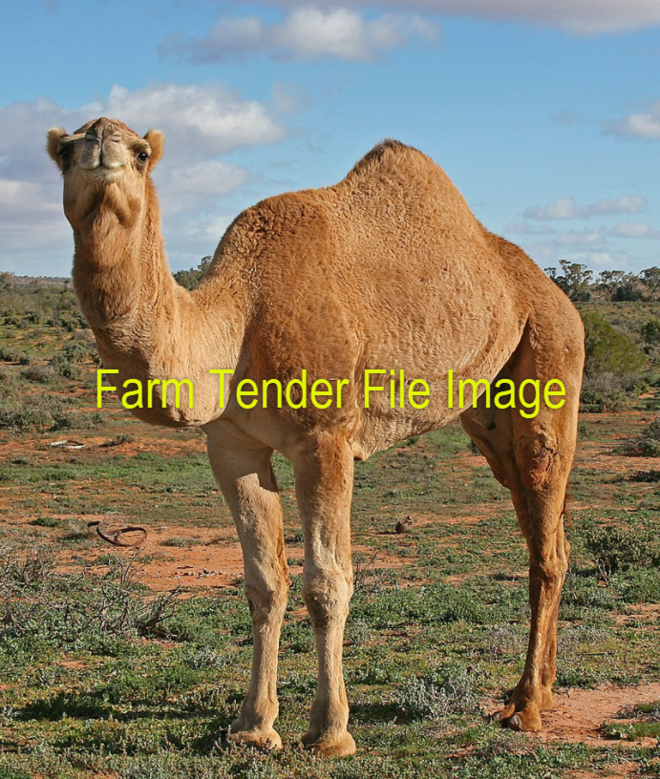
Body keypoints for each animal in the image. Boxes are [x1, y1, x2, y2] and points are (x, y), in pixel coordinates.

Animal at [47, 117, 584, 757]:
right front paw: (253, 728)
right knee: (541, 527)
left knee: (546, 528)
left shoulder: (324, 440)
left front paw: (330, 732)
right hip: (490, 415)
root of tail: (553, 292)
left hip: (552, 354)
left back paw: (527, 706)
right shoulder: (232, 447)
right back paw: (538, 690)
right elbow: (264, 582)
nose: (102, 142)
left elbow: (327, 583)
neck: (238, 320)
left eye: (141, 153)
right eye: (65, 151)